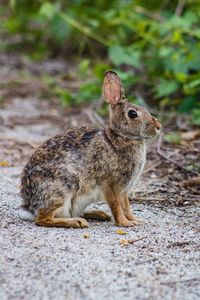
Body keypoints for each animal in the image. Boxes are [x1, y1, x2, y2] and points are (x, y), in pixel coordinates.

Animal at [18, 71, 161, 227]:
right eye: (133, 114)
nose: (158, 126)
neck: (120, 137)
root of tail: (30, 205)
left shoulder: (124, 190)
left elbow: (127, 206)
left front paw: (136, 220)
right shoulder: (110, 185)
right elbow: (116, 206)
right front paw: (125, 223)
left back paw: (98, 214)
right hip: (63, 186)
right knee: (43, 218)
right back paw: (77, 222)